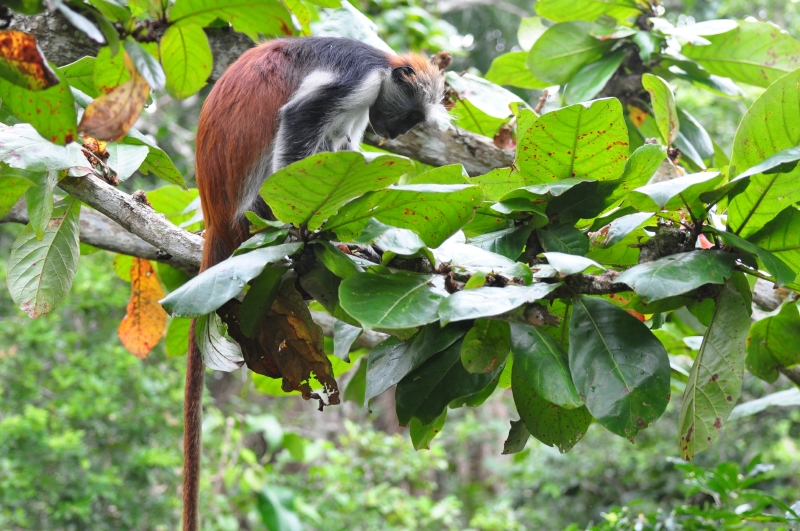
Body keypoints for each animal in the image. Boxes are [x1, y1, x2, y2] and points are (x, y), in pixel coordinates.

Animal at [183, 37, 450, 531]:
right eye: (408, 118)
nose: (394, 136)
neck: (382, 62)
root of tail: (216, 216)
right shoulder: (359, 80)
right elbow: (300, 120)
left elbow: (344, 148)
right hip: (257, 208)